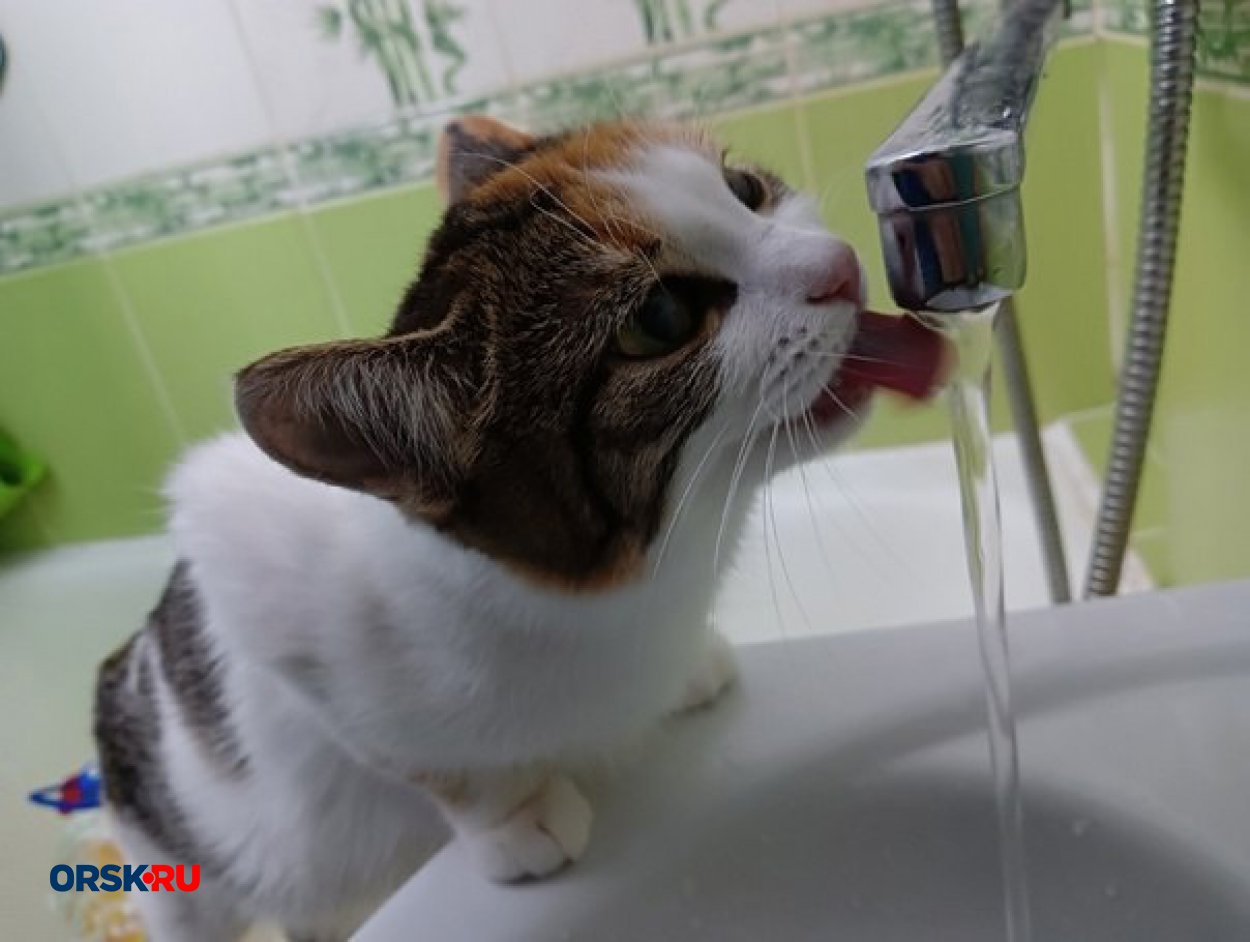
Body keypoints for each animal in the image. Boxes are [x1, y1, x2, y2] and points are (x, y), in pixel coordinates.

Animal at [94, 115, 877, 941]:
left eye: (743, 189)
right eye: (660, 319)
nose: (842, 265)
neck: (635, 588)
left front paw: (691, 667)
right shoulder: (259, 584)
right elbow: (423, 757)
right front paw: (516, 815)